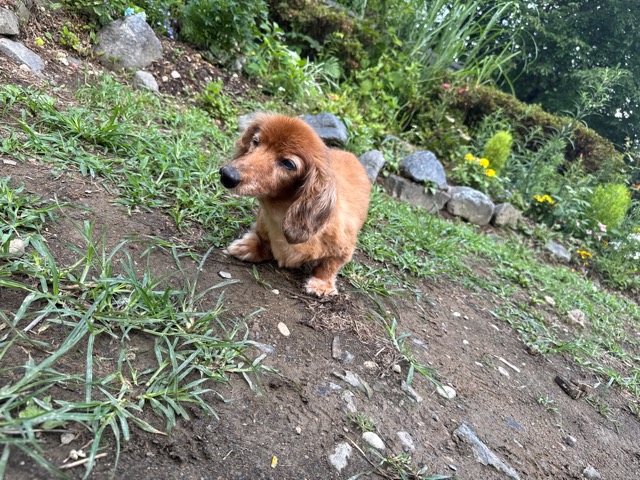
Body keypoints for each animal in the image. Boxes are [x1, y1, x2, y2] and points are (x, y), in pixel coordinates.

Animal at [219, 114, 371, 296]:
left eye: (288, 164)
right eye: (256, 141)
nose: (227, 175)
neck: (280, 213)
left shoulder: (343, 249)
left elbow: (329, 265)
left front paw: (321, 284)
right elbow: (263, 240)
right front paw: (250, 247)